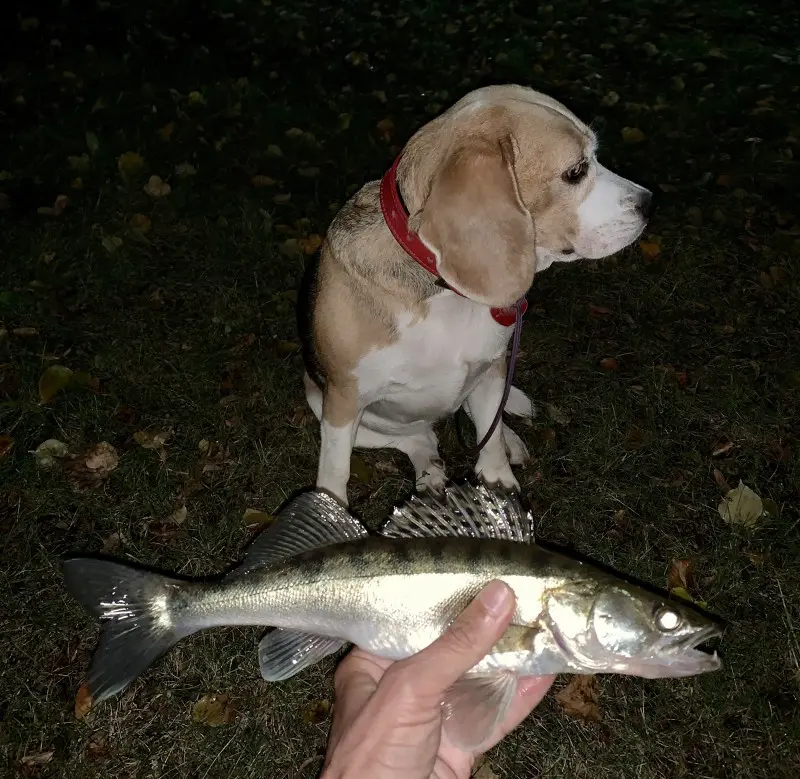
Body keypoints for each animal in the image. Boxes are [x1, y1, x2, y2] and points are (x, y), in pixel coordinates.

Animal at [298, 80, 648, 506]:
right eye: (576, 171)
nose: (649, 203)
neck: (444, 294)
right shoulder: (342, 403)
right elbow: (334, 474)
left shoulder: (491, 368)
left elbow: (490, 437)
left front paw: (498, 483)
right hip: (324, 402)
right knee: (419, 439)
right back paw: (431, 473)